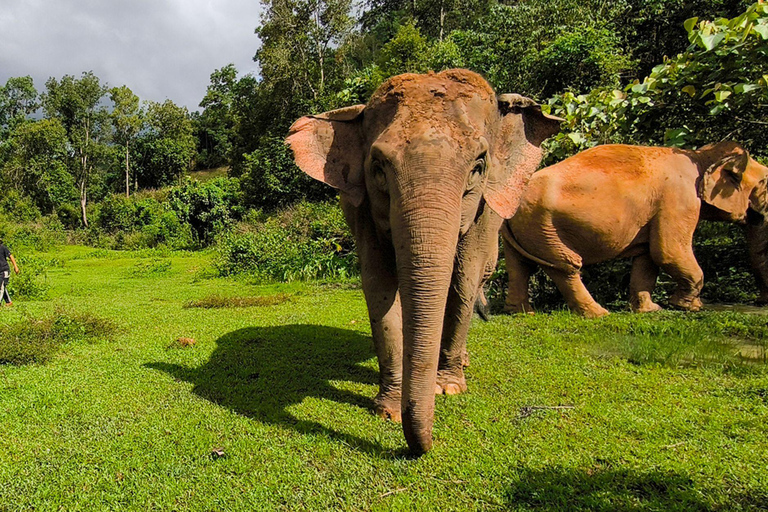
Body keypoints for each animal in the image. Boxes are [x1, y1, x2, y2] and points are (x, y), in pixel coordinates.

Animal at [286, 69, 562, 454]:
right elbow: (379, 284)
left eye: (478, 166)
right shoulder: (363, 206)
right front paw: (388, 410)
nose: (421, 448)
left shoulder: (483, 208)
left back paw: (460, 362)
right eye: (378, 167)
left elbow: (464, 276)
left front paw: (448, 388)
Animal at [501, 142, 768, 318]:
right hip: (544, 227)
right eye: (764, 183)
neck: (700, 156)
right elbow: (668, 252)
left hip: (528, 228)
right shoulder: (678, 199)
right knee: (566, 266)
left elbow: (648, 258)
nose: (760, 302)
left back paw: (522, 313)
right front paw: (686, 307)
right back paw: (599, 314)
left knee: (520, 266)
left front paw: (651, 310)